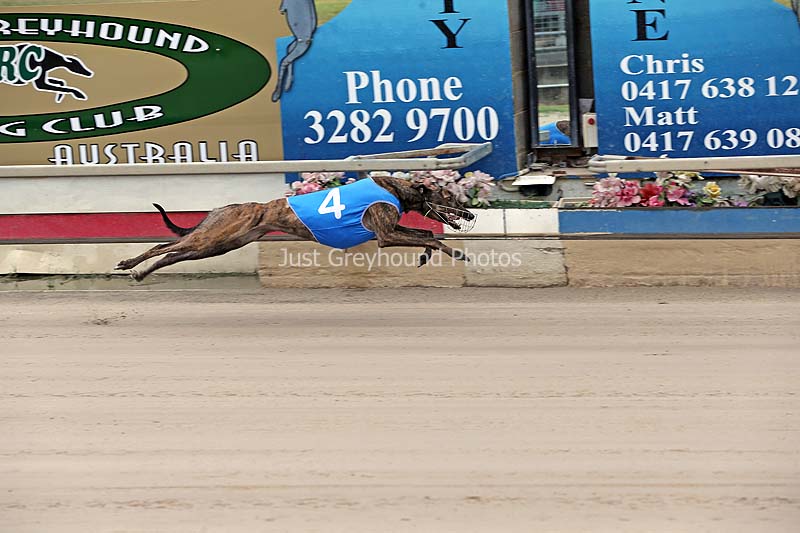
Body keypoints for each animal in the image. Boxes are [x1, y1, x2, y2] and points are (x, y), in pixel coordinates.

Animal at [115, 176, 476, 281]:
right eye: (448, 196)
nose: (470, 213)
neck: (397, 188)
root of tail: (222, 208)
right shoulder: (385, 235)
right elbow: (432, 236)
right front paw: (457, 254)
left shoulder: (390, 229)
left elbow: (428, 234)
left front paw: (428, 256)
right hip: (213, 237)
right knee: (163, 247)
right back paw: (129, 264)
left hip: (221, 243)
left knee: (172, 255)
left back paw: (141, 273)